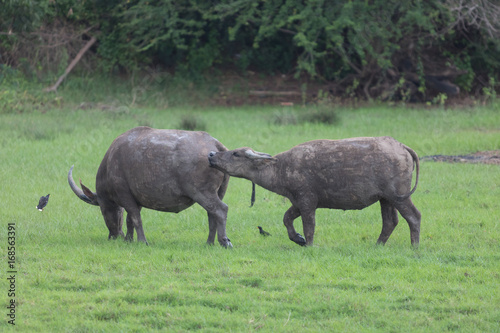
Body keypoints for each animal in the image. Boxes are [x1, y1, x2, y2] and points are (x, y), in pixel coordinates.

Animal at [69, 126, 232, 246]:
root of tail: (215, 145)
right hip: (219, 192)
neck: (110, 164)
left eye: (103, 211)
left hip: (202, 192)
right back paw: (209, 242)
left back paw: (223, 241)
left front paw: (142, 241)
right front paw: (129, 240)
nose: (113, 236)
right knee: (212, 214)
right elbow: (129, 220)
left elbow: (135, 218)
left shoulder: (125, 195)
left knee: (221, 210)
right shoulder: (137, 199)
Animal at [209, 136, 420, 246]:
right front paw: (298, 239)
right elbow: (286, 219)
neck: (282, 168)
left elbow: (309, 226)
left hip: (398, 196)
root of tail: (402, 147)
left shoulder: (307, 201)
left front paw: (307, 243)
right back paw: (377, 245)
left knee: (414, 216)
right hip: (385, 199)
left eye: (236, 153)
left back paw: (414, 246)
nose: (211, 155)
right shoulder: (297, 202)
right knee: (390, 222)